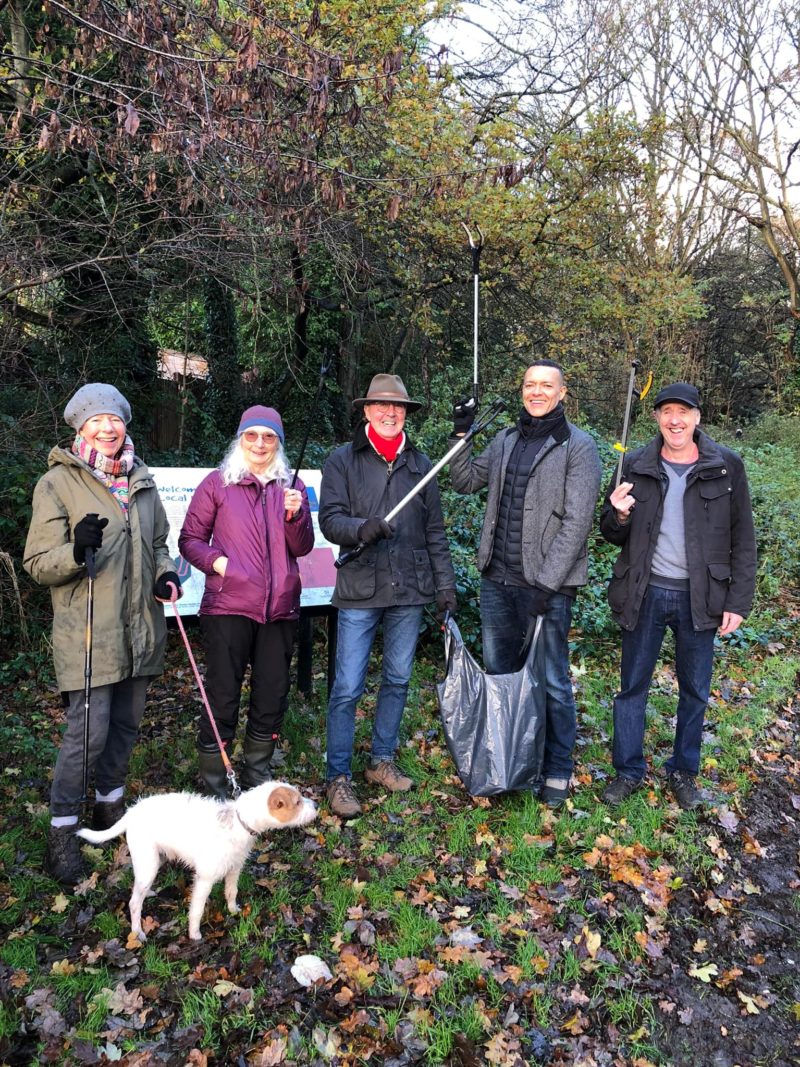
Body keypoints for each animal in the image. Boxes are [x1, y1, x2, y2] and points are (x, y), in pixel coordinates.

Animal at [77, 781, 315, 938]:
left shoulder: (234, 868)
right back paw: (137, 933)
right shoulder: (205, 879)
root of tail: (132, 812)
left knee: (139, 888)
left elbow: (231, 891)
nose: (317, 806)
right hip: (148, 862)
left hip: (153, 861)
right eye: (297, 802)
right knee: (134, 902)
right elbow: (197, 910)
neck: (237, 822)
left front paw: (233, 910)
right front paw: (194, 935)